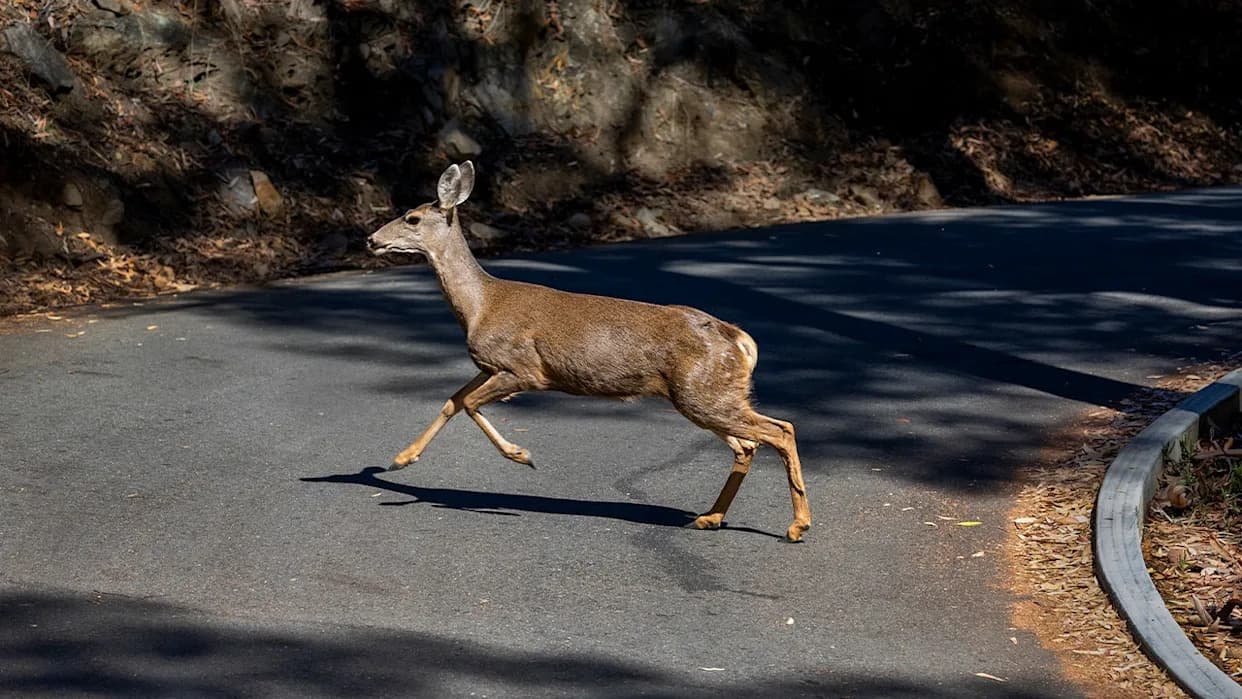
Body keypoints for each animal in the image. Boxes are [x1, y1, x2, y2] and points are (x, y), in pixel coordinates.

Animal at [367, 161, 811, 542]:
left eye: (412, 218)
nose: (371, 239)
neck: (480, 306)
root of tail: (738, 338)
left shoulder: (523, 368)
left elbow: (471, 403)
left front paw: (521, 454)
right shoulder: (489, 365)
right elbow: (453, 400)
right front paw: (402, 458)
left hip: (703, 392)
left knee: (780, 430)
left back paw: (796, 526)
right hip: (708, 395)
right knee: (750, 443)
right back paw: (710, 517)